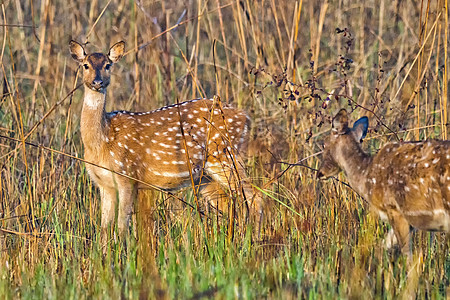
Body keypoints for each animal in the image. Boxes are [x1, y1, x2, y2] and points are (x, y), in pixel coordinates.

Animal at [68, 39, 262, 243]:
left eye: (108, 65)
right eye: (85, 65)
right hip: (205, 176)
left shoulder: (127, 176)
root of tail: (245, 116)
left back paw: (253, 241)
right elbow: (105, 228)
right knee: (227, 201)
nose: (97, 82)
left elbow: (122, 227)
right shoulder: (104, 184)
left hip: (225, 156)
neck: (102, 142)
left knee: (255, 196)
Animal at [318, 109, 448, 256]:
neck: (366, 176)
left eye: (324, 144)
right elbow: (384, 245)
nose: (320, 173)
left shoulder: (395, 209)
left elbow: (406, 254)